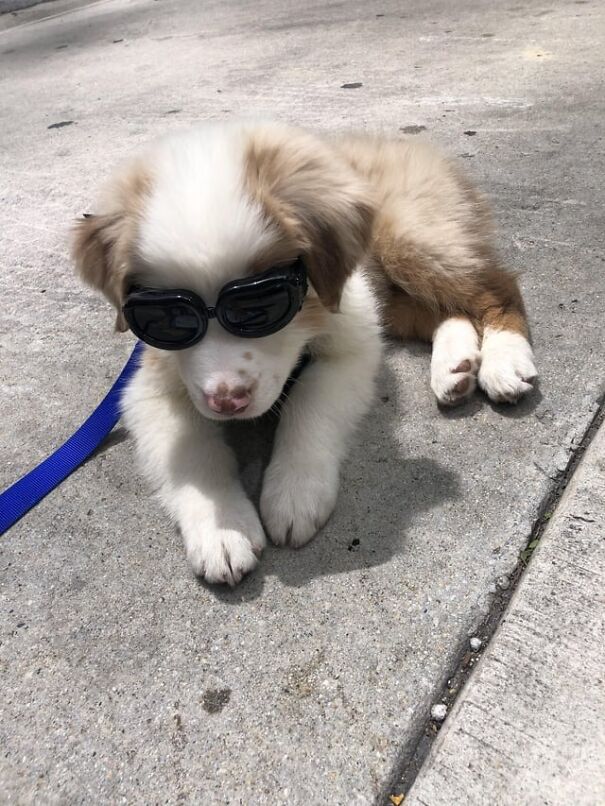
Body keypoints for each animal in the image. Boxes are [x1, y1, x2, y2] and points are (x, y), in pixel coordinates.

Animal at [72, 121, 536, 588]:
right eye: (170, 319)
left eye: (260, 306)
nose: (227, 401)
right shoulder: (149, 385)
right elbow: (192, 453)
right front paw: (222, 528)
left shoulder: (350, 340)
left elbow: (307, 405)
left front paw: (294, 492)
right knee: (443, 310)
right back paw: (455, 366)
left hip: (414, 238)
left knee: (498, 288)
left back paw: (505, 362)